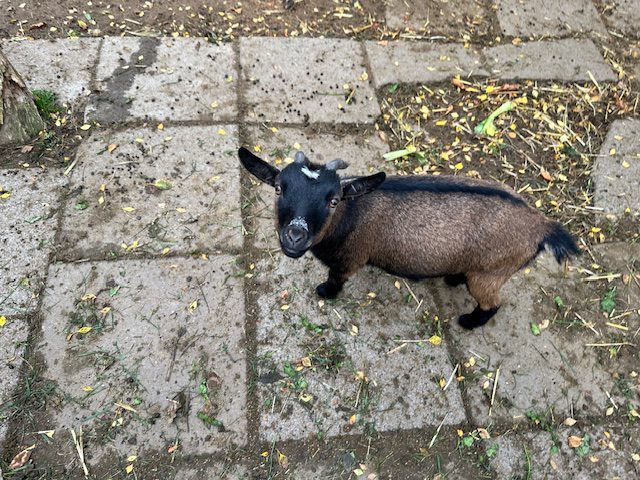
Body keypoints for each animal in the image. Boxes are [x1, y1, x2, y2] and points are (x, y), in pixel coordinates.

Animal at [238, 147, 579, 329]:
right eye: (279, 187)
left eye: (333, 200)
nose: (295, 236)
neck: (350, 214)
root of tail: (541, 226)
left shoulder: (350, 258)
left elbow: (336, 278)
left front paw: (326, 292)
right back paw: (453, 279)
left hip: (491, 272)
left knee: (492, 304)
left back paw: (467, 322)